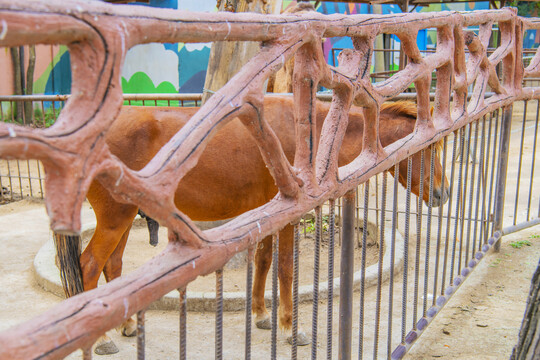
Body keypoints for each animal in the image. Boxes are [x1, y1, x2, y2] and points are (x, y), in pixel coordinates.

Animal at [64, 94, 452, 352]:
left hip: (125, 217)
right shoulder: (287, 220)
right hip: (115, 218)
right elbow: (285, 269)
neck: (310, 136)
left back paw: (126, 325)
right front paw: (290, 327)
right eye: (429, 148)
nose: (443, 193)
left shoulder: (268, 215)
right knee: (90, 265)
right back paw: (101, 339)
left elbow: (264, 261)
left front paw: (262, 314)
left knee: (113, 267)